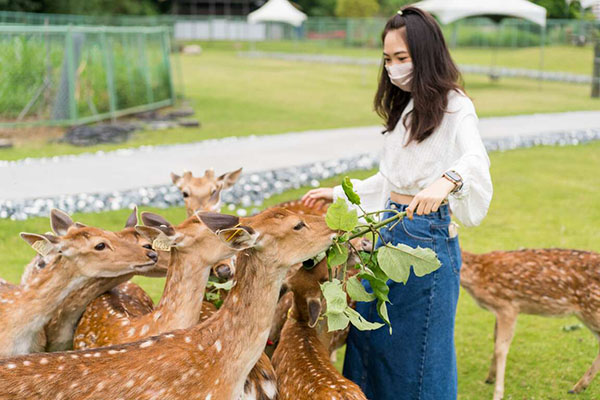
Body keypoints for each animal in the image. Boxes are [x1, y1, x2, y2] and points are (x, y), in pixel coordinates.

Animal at [462, 248, 600, 398]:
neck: (476, 274)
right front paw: (490, 378)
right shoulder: (499, 311)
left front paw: (498, 394)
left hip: (592, 309)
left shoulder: (507, 307)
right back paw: (578, 387)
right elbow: (495, 339)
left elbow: (500, 349)